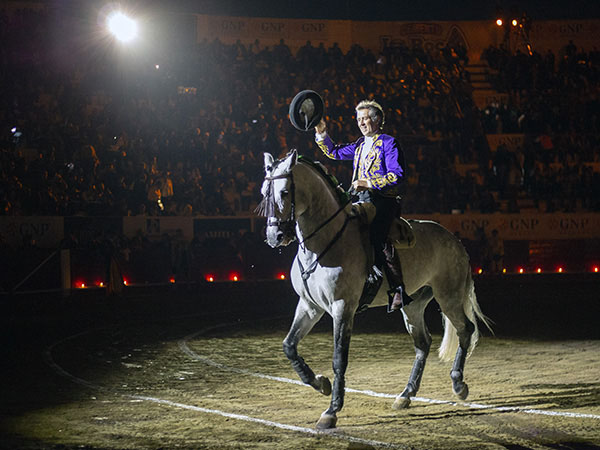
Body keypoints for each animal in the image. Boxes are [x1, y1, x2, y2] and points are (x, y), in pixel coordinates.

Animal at [258, 151, 492, 428]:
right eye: (264, 192)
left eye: (284, 192)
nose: (275, 236)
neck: (325, 243)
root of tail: (454, 240)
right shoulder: (309, 306)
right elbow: (289, 346)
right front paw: (322, 384)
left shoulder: (343, 308)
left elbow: (339, 358)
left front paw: (331, 410)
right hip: (413, 305)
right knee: (423, 343)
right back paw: (405, 395)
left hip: (449, 296)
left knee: (465, 329)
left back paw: (458, 385)